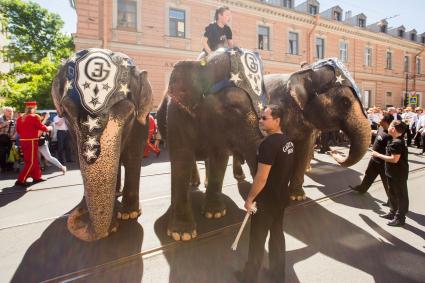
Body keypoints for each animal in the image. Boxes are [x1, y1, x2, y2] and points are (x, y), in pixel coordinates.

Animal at [51, 48, 152, 242]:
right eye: (66, 111)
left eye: (128, 112)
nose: (79, 216)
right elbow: (78, 156)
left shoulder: (142, 123)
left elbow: (133, 156)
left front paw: (129, 215)